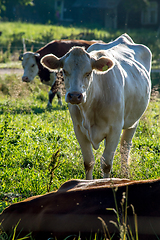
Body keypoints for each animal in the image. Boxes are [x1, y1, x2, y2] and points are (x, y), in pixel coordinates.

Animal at [41, 34, 151, 180]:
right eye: (64, 71)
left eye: (88, 72)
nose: (75, 96)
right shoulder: (78, 129)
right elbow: (88, 162)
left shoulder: (115, 129)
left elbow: (106, 164)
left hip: (133, 121)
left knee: (125, 148)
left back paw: (125, 173)